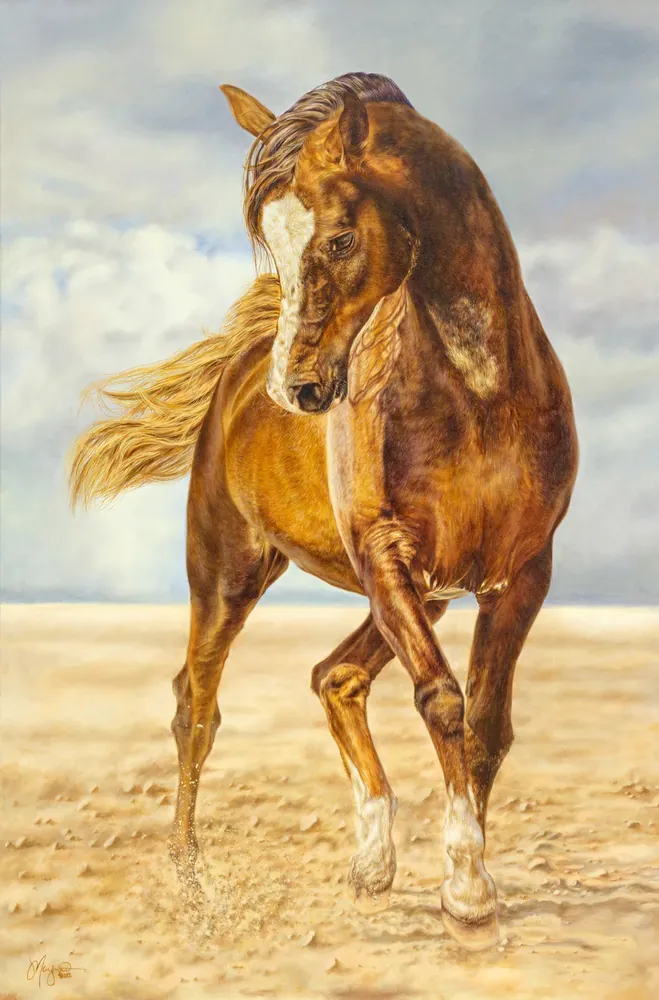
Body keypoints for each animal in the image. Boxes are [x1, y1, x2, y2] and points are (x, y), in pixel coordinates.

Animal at [69, 72, 578, 936]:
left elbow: (485, 726)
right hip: (230, 574)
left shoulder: (517, 576)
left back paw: (370, 864)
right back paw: (190, 876)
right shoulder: (385, 555)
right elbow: (441, 702)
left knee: (334, 677)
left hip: (424, 598)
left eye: (339, 239)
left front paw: (467, 879)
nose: (299, 390)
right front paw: (465, 885)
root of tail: (237, 374)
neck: (479, 389)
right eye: (270, 244)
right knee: (195, 704)